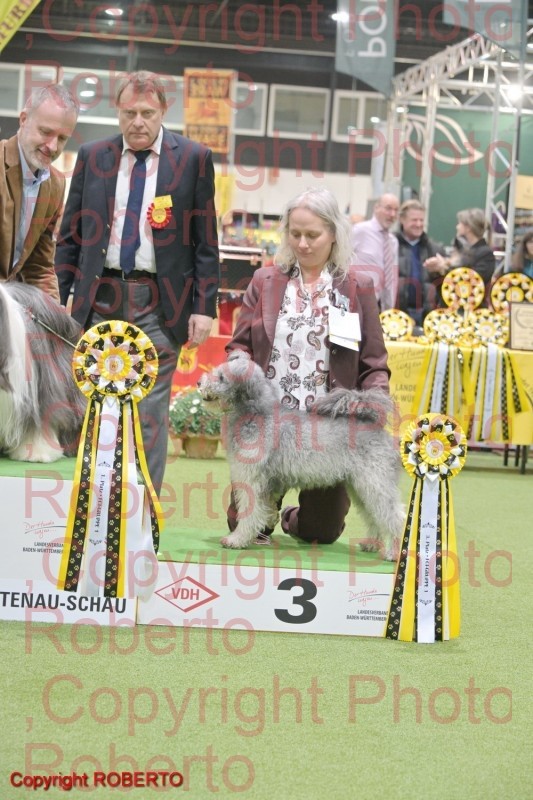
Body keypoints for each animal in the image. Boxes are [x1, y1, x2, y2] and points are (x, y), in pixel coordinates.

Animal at [199, 352, 405, 560]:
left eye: (221, 377)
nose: (199, 382)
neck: (257, 415)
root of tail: (377, 428)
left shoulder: (252, 480)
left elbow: (250, 513)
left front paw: (236, 540)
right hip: (360, 487)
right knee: (374, 517)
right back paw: (371, 543)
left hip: (375, 483)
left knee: (394, 517)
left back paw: (393, 552)